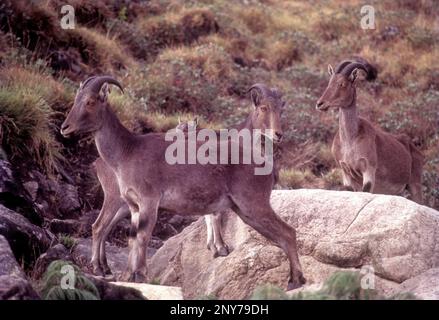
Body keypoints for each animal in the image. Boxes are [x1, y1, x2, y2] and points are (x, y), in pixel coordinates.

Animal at [62, 75, 306, 290]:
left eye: (90, 101)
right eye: (76, 99)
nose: (65, 127)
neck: (128, 151)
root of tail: (267, 166)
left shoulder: (149, 201)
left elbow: (143, 236)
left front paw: (140, 275)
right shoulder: (134, 206)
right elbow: (133, 238)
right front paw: (131, 275)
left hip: (254, 204)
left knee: (288, 233)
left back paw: (295, 281)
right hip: (244, 209)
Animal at [318, 60, 424, 202]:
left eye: (342, 83)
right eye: (330, 82)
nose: (320, 104)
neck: (350, 140)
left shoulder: (369, 170)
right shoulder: (346, 172)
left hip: (414, 183)